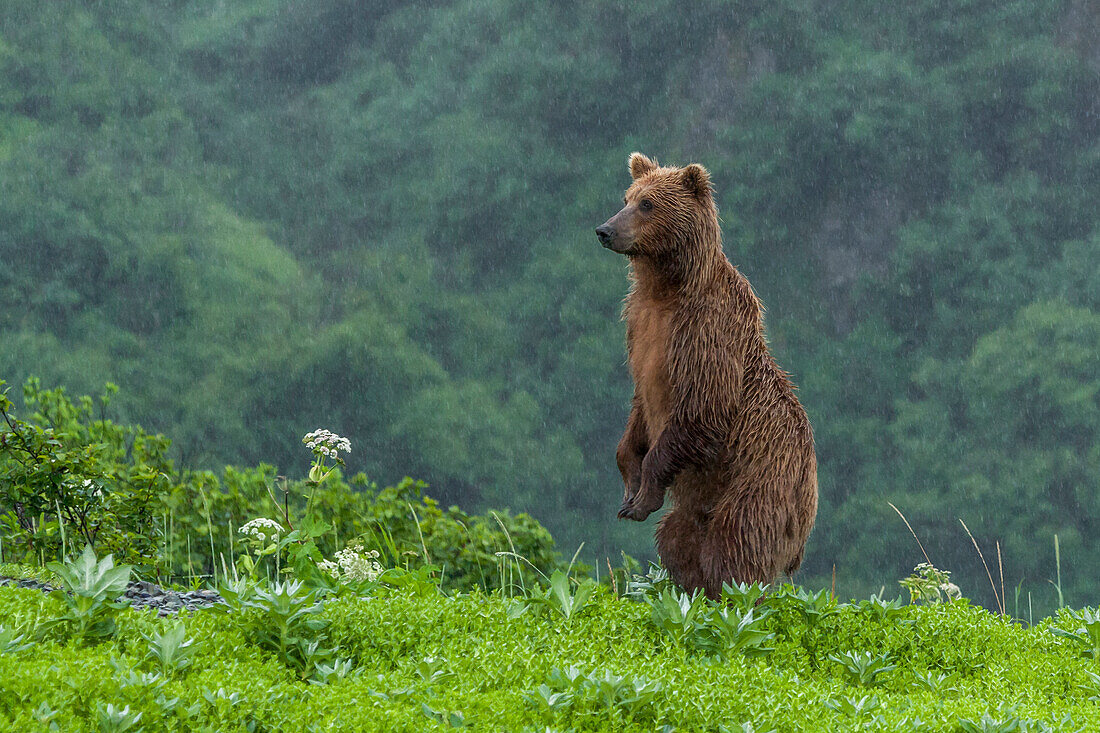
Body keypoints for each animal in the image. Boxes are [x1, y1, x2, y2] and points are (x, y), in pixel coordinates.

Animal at [594, 150, 818, 598]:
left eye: (647, 204)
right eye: (627, 197)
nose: (605, 230)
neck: (667, 288)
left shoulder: (705, 332)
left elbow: (703, 409)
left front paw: (642, 495)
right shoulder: (640, 328)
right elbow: (638, 410)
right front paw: (629, 490)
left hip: (760, 483)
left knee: (735, 544)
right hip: (697, 508)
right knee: (676, 538)